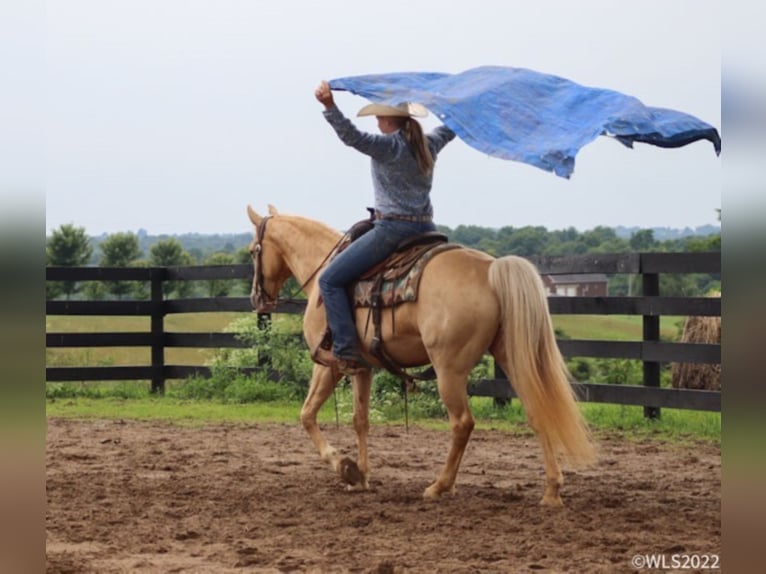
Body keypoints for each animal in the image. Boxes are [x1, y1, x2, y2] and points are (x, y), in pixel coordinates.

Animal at [249, 205, 596, 506]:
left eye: (254, 250)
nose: (256, 298)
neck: (322, 272)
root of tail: (491, 269)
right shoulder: (363, 368)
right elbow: (360, 420)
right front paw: (361, 476)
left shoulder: (328, 365)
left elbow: (307, 414)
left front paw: (342, 465)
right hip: (511, 357)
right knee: (538, 411)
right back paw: (551, 491)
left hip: (449, 370)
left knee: (462, 423)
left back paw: (440, 486)